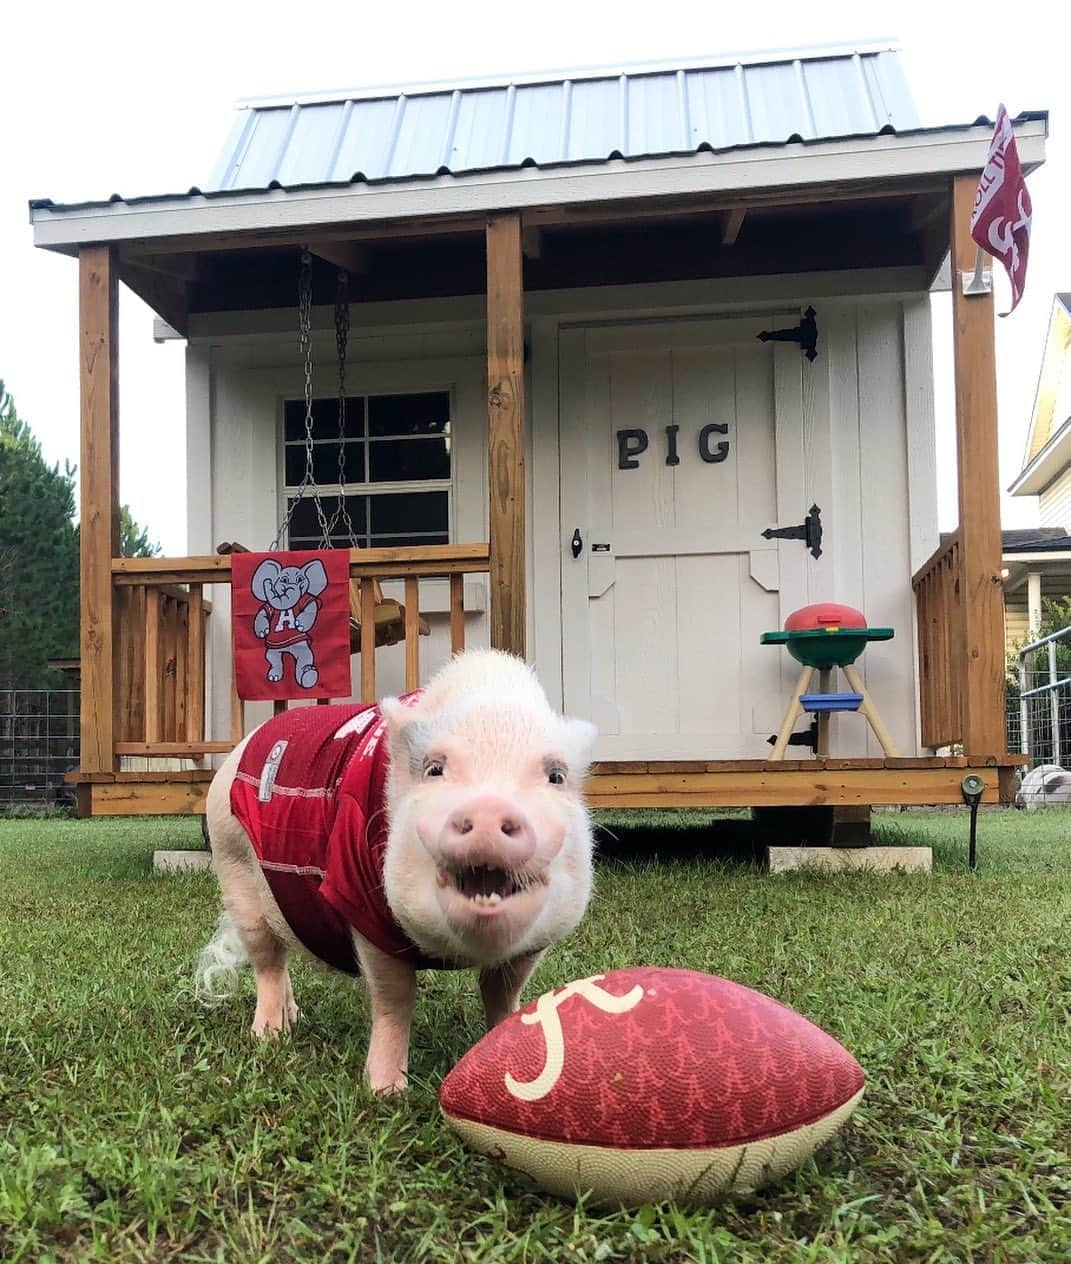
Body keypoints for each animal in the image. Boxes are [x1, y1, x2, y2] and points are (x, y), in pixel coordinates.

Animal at [198, 647, 599, 1092]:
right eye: (434, 769)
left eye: (556, 776)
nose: (489, 807)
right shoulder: (366, 910)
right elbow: (395, 998)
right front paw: (385, 1092)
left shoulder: (534, 943)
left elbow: (503, 994)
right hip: (233, 864)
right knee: (267, 961)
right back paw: (269, 1037)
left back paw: (294, 1019)